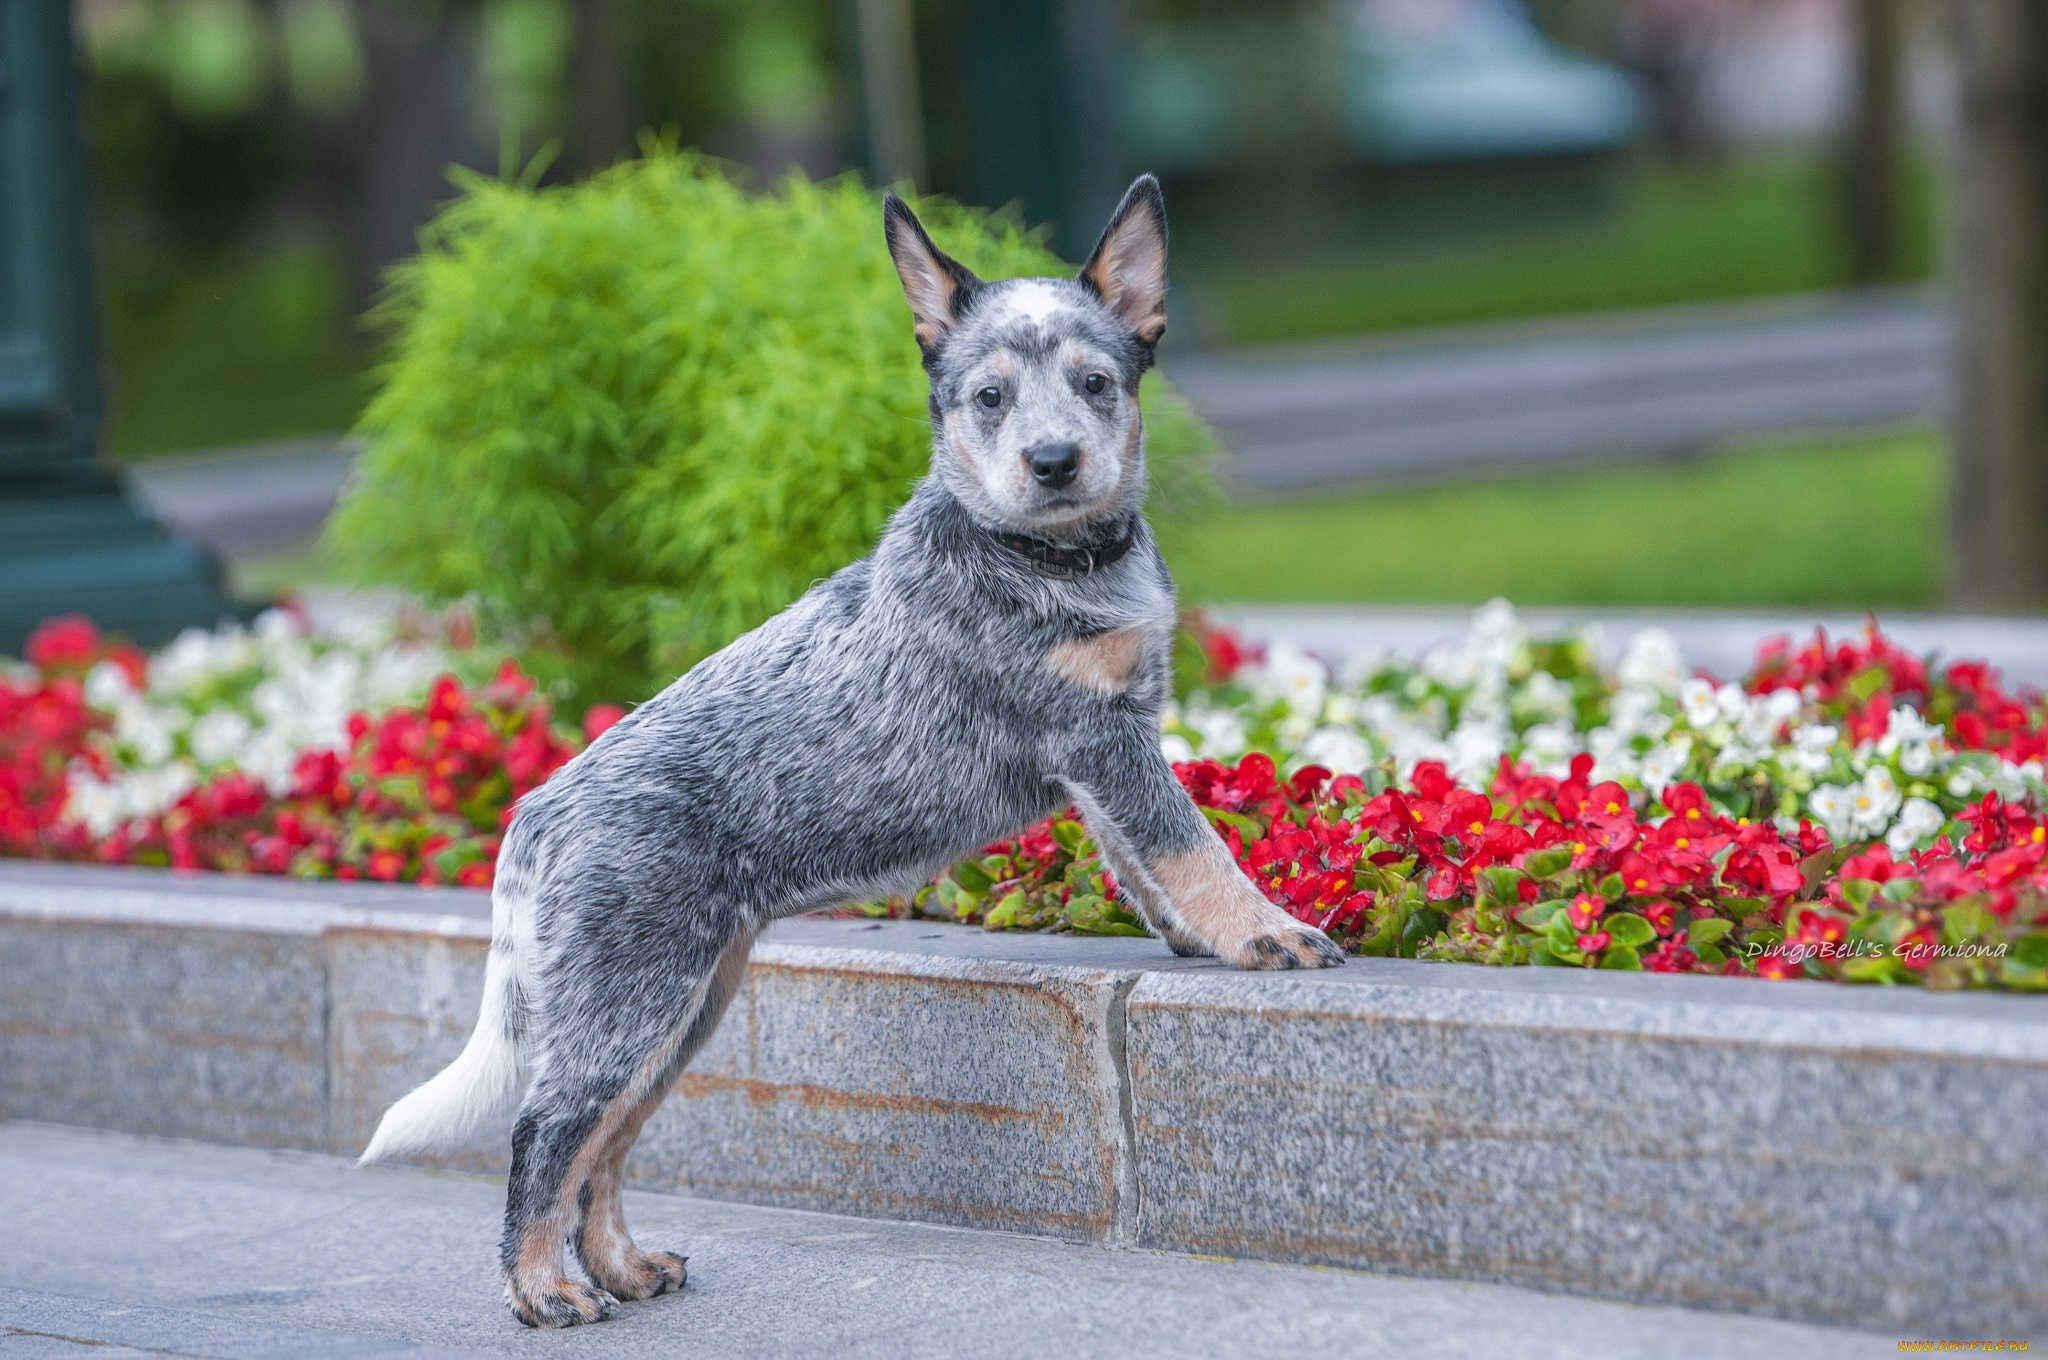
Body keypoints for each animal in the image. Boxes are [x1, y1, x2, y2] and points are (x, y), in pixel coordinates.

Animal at [360, 173, 1343, 1327]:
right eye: (988, 398)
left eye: (1096, 382)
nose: (1054, 461)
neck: (1051, 557)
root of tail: (534, 814)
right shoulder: (1094, 734)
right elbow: (1193, 844)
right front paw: (1266, 933)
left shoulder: (1110, 739)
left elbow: (1140, 859)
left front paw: (1192, 938)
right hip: (628, 999)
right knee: (546, 1130)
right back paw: (542, 1290)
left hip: (681, 1003)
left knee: (606, 1141)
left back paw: (621, 1267)